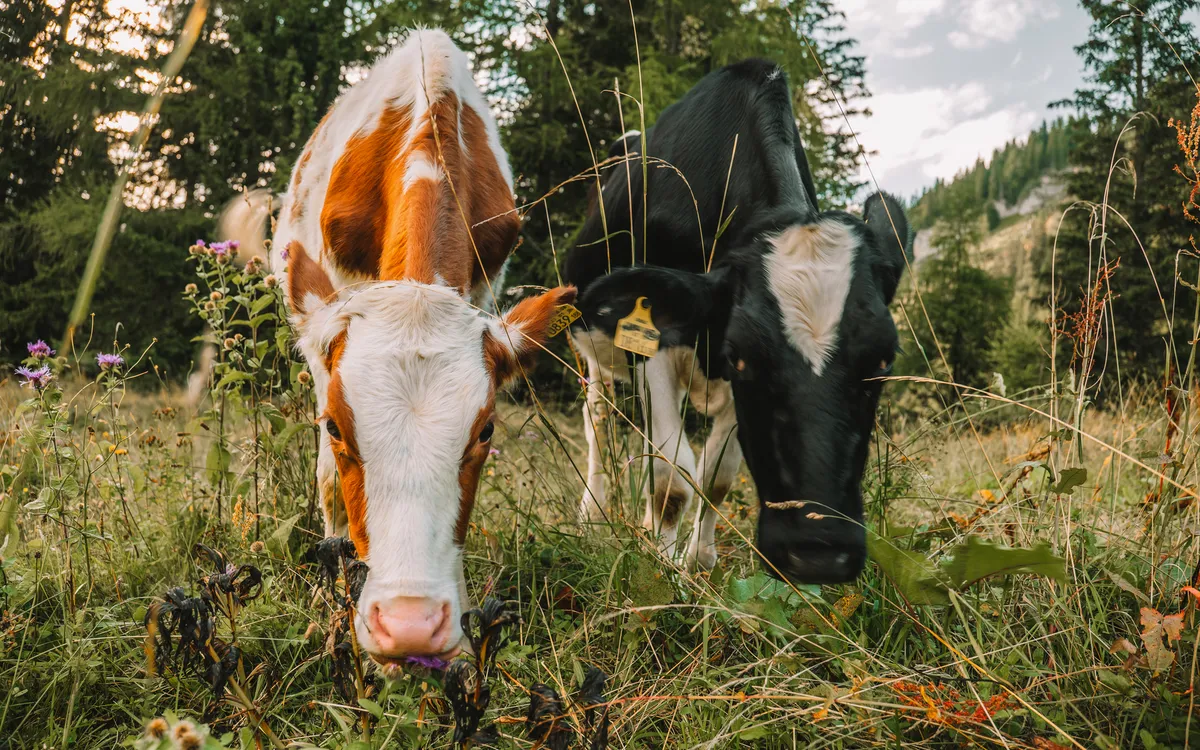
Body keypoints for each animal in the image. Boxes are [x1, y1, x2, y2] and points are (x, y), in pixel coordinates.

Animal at [564, 59, 911, 585]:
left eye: (884, 359)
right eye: (741, 355)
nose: (818, 555)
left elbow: (715, 476)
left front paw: (697, 559)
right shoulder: (656, 343)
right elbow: (674, 477)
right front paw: (665, 571)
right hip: (595, 356)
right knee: (598, 425)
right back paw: (592, 515)